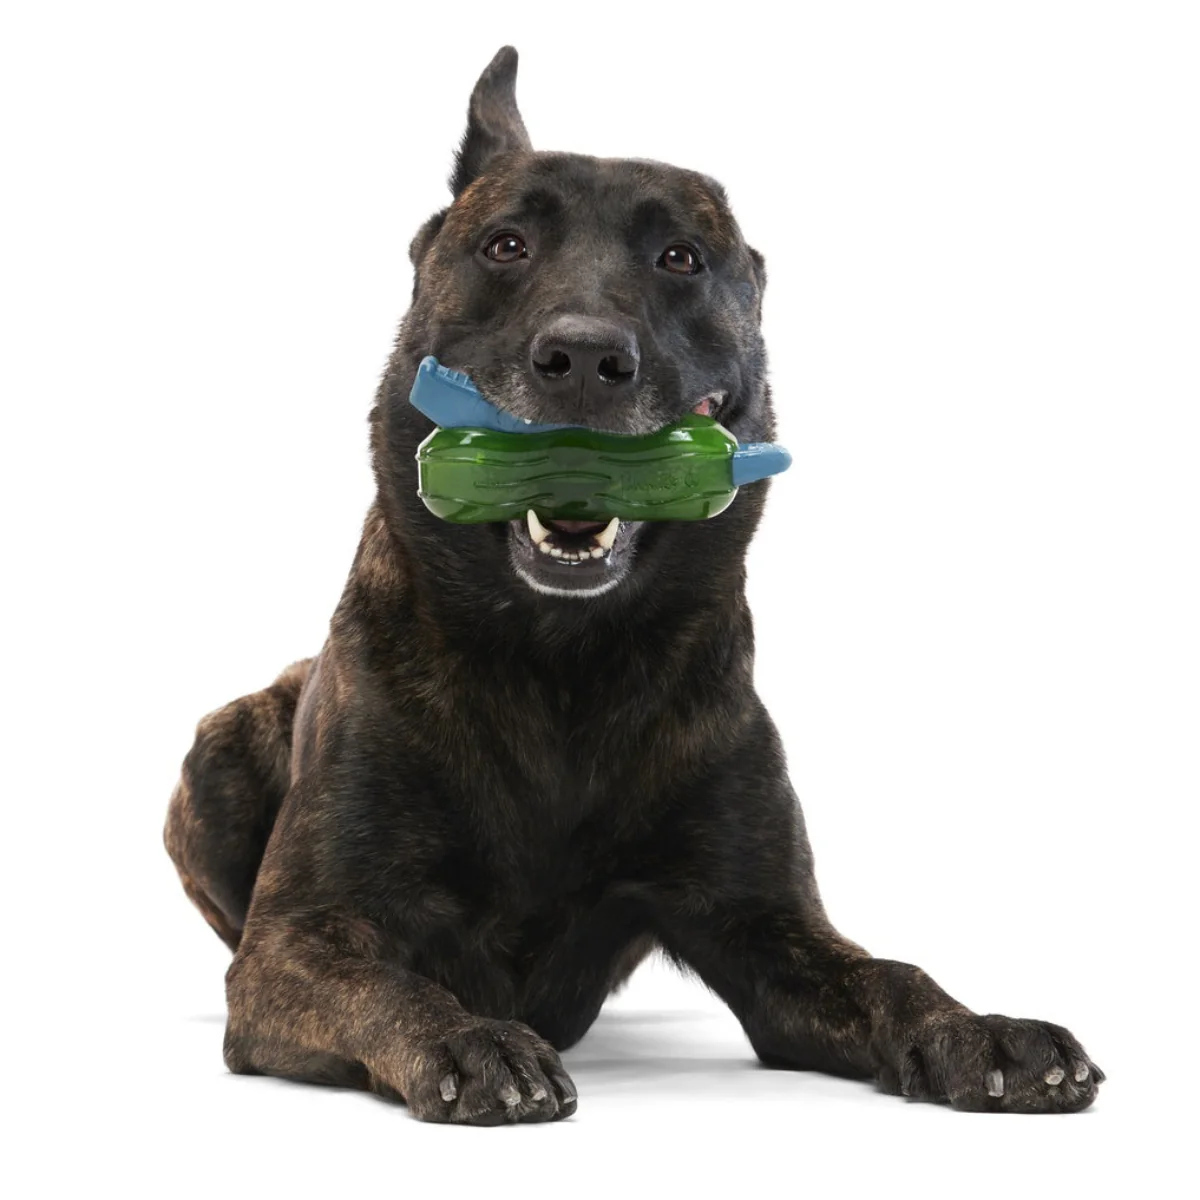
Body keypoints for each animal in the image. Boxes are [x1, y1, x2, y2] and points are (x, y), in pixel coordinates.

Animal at [165, 46, 1103, 1123]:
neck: (561, 666)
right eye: (506, 244)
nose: (582, 357)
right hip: (220, 749)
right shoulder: (298, 944)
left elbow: (890, 974)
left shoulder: (768, 929)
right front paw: (466, 1037)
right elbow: (386, 981)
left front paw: (980, 1028)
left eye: (681, 259)